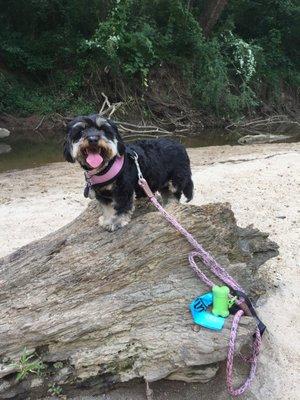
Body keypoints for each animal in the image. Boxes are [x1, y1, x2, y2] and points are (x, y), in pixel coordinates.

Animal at [63, 113, 195, 231]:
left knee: (174, 194)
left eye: (103, 129)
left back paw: (171, 206)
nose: (93, 139)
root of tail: (180, 145)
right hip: (163, 181)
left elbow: (121, 207)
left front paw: (116, 222)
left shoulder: (123, 189)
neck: (105, 168)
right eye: (81, 131)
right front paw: (107, 220)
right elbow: (108, 209)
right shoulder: (103, 195)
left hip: (176, 179)